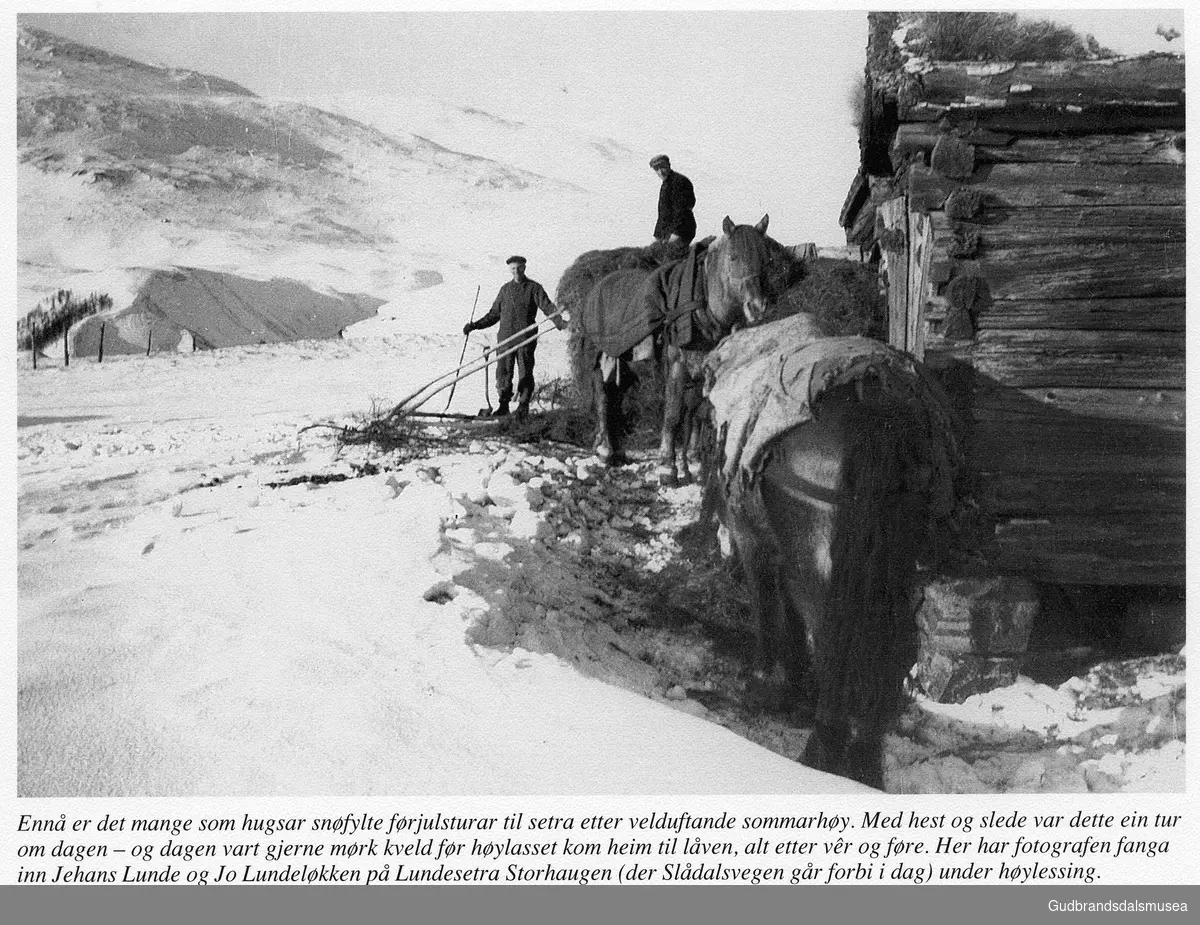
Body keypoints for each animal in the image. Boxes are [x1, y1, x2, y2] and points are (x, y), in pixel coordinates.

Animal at [564, 214, 806, 484]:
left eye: (766, 258)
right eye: (733, 257)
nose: (758, 307)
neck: (702, 306)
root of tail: (595, 288)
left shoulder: (701, 374)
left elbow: (692, 417)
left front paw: (687, 465)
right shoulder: (677, 368)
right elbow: (673, 416)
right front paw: (668, 468)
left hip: (625, 367)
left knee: (616, 400)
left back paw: (618, 452)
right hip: (599, 359)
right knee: (603, 397)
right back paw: (605, 450)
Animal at [700, 316, 955, 787]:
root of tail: (873, 417)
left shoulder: (753, 542)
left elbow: (769, 610)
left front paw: (768, 685)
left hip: (820, 564)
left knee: (833, 638)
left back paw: (823, 750)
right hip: (889, 564)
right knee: (885, 643)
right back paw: (863, 761)